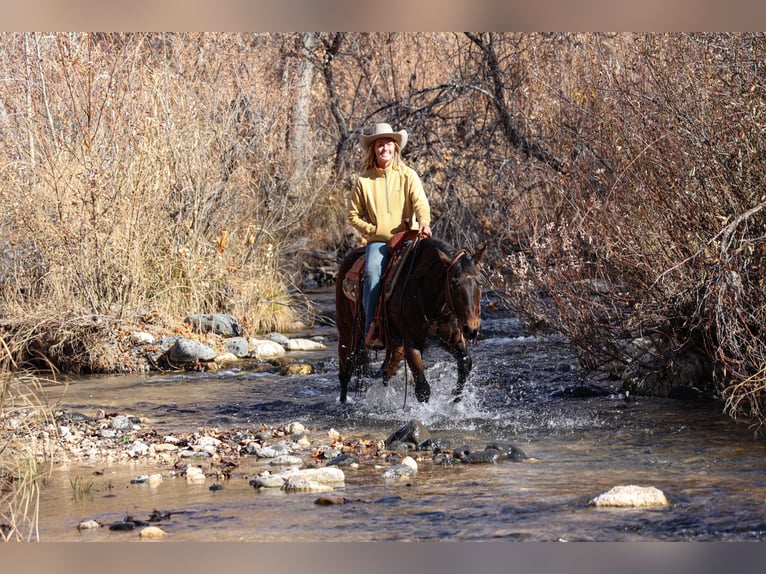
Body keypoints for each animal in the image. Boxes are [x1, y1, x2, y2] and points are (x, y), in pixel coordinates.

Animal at [334, 237, 480, 404]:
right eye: (453, 284)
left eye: (479, 282)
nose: (471, 329)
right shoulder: (412, 343)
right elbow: (423, 389)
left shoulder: (450, 338)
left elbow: (465, 363)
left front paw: (456, 397)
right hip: (347, 331)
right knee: (345, 371)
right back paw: (343, 402)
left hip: (394, 343)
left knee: (387, 369)